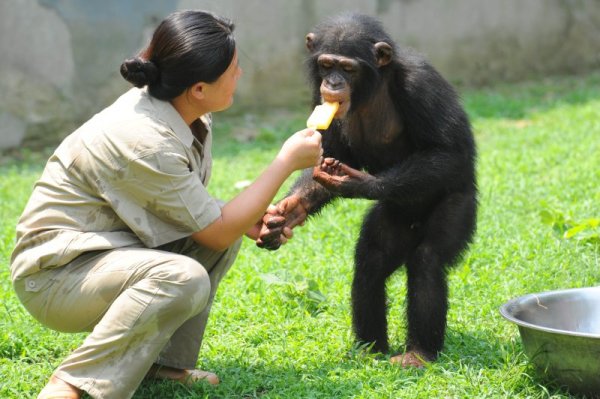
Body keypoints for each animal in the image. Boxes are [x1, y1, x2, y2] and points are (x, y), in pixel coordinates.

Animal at [255, 13, 476, 368]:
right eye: (326, 65)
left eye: (347, 69)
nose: (332, 83)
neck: (373, 89)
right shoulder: (319, 101)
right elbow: (329, 150)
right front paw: (286, 214)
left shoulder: (421, 84)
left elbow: (448, 152)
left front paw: (359, 183)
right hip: (393, 220)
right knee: (371, 260)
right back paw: (370, 349)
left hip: (460, 206)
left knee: (427, 259)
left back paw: (418, 353)